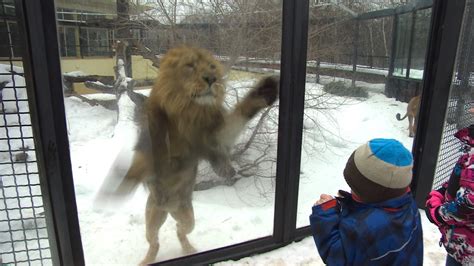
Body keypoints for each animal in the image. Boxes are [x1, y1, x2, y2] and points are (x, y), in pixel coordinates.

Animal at [98, 45, 280, 264]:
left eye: (212, 67)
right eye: (190, 65)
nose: (211, 78)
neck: (187, 110)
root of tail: (169, 209)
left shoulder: (215, 138)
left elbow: (240, 114)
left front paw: (266, 90)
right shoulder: (150, 144)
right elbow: (139, 164)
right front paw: (113, 189)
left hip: (187, 216)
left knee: (180, 230)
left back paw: (189, 249)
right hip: (152, 218)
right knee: (154, 242)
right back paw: (147, 260)